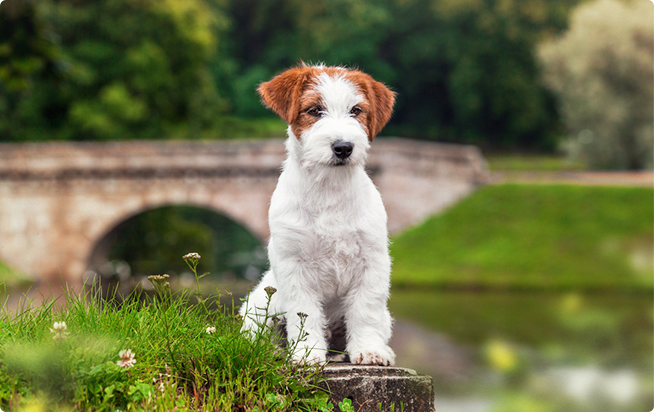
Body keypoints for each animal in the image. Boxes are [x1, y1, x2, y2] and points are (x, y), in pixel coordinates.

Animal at [240, 64, 394, 366]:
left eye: (356, 110)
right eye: (314, 110)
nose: (343, 147)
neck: (329, 190)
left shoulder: (373, 262)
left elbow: (365, 310)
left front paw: (369, 350)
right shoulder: (293, 265)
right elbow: (305, 314)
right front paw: (307, 354)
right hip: (260, 304)